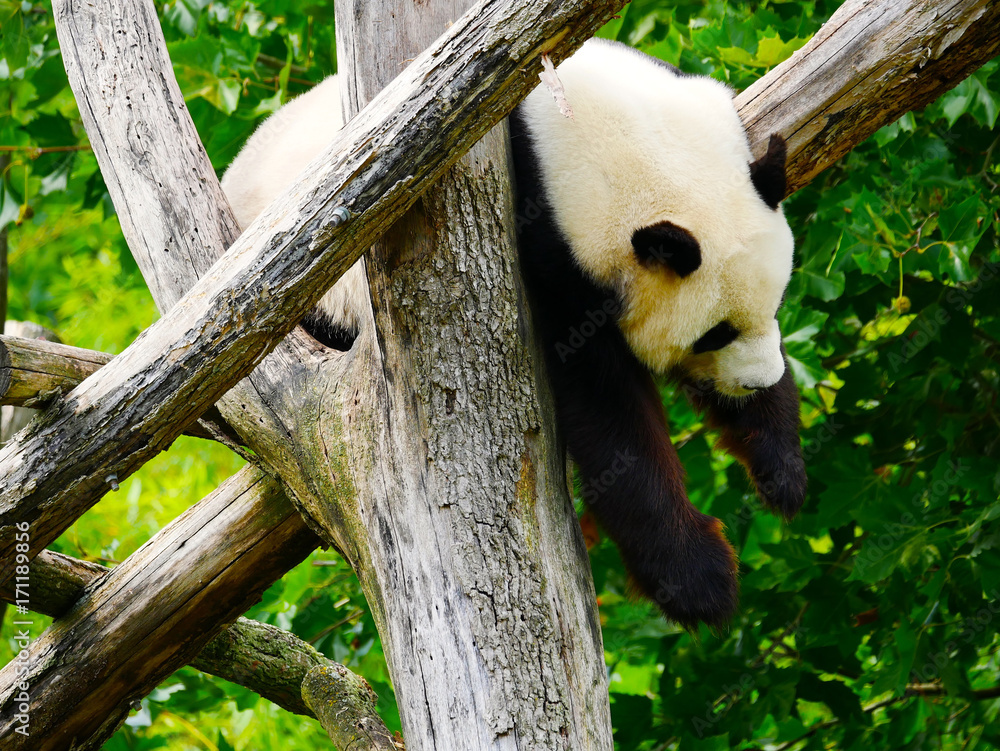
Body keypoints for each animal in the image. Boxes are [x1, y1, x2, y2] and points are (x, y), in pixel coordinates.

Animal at [222, 38, 806, 628]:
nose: (757, 382)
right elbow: (609, 414)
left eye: (776, 302)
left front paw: (782, 469)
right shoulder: (554, 256)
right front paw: (699, 580)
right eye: (714, 335)